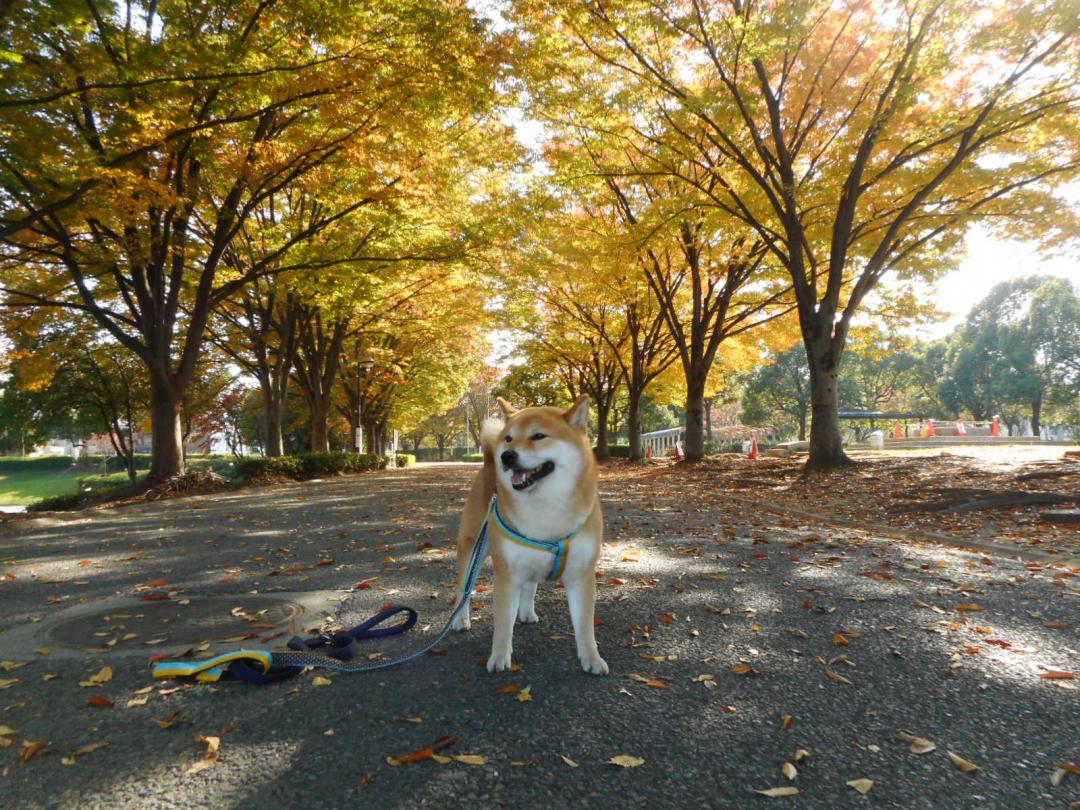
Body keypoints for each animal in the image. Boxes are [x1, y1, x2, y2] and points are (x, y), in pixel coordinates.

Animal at [447, 397, 609, 673]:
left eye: (538, 436)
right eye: (509, 438)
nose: (506, 455)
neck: (547, 509)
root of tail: (488, 461)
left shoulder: (581, 574)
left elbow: (585, 626)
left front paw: (592, 658)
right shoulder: (507, 573)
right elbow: (502, 623)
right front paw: (499, 657)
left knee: (530, 584)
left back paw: (526, 613)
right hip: (471, 546)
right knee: (463, 588)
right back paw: (461, 618)